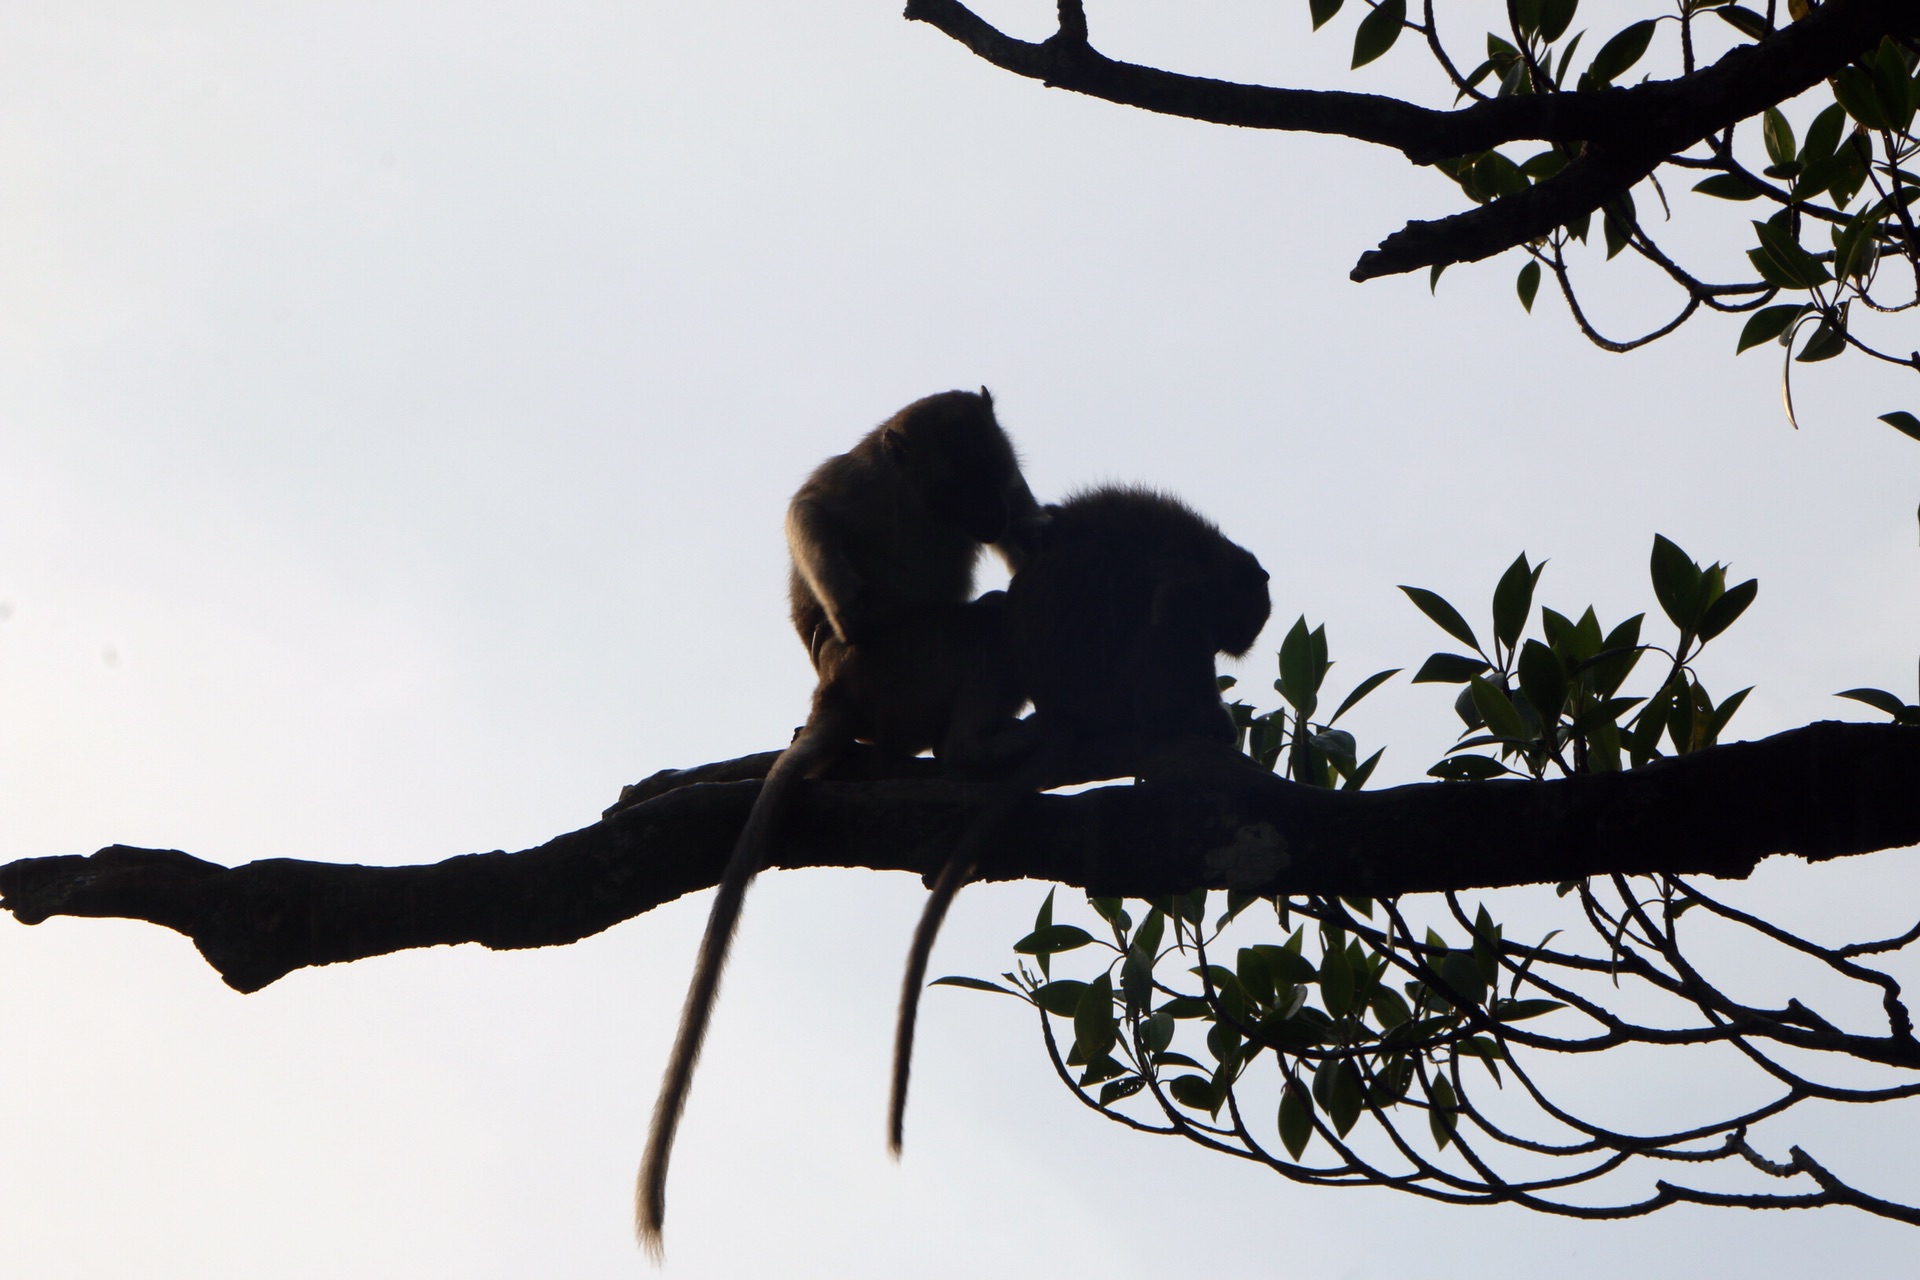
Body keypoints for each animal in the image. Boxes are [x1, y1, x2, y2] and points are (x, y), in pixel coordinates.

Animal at [637, 385, 1036, 1258]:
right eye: (963, 477)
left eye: (996, 472)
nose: (990, 510)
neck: (917, 499)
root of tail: (838, 698)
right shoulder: (858, 484)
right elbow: (808, 509)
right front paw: (847, 599)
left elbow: (1036, 548)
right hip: (903, 670)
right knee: (988, 623)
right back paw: (971, 744)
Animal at [887, 483, 1274, 1159]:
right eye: (1242, 624)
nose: (1236, 643)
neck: (1208, 547)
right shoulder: (1192, 586)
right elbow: (1173, 621)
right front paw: (1210, 718)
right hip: (1115, 684)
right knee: (1153, 625)